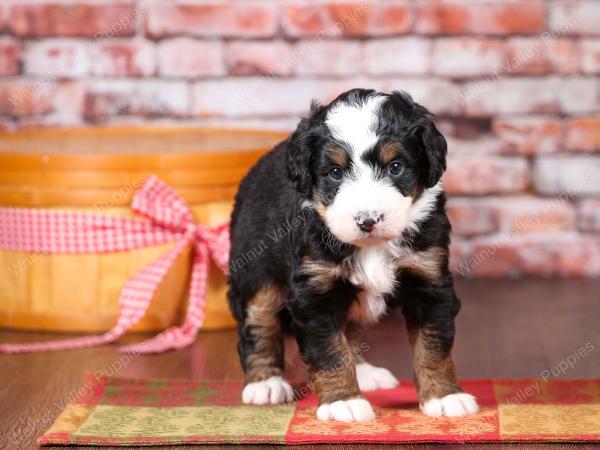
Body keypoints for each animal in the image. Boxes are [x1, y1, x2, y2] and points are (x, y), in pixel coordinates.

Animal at [227, 88, 480, 422]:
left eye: (395, 167)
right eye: (335, 173)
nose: (367, 219)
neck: (372, 245)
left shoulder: (430, 279)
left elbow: (433, 345)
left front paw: (444, 396)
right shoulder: (315, 292)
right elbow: (330, 351)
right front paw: (342, 401)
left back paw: (365, 372)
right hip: (256, 271)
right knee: (259, 324)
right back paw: (265, 383)